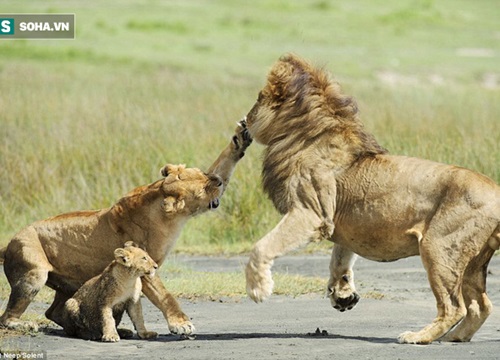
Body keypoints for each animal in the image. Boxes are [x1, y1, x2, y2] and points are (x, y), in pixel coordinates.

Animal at [0, 120, 250, 334]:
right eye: (202, 189)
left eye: (203, 173)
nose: (218, 181)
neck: (166, 214)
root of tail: (9, 242)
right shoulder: (144, 266)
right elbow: (165, 295)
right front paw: (181, 324)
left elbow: (224, 162)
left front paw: (240, 139)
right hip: (34, 273)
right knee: (7, 317)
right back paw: (25, 325)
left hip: (70, 284)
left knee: (54, 312)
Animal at [243, 53, 500, 344]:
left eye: (258, 97)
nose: (246, 119)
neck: (306, 134)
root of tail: (496, 192)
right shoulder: (341, 224)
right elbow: (339, 259)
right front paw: (343, 294)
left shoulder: (311, 213)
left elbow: (261, 247)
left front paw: (258, 289)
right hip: (473, 261)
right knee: (481, 306)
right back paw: (454, 337)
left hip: (439, 246)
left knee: (454, 306)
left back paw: (418, 336)